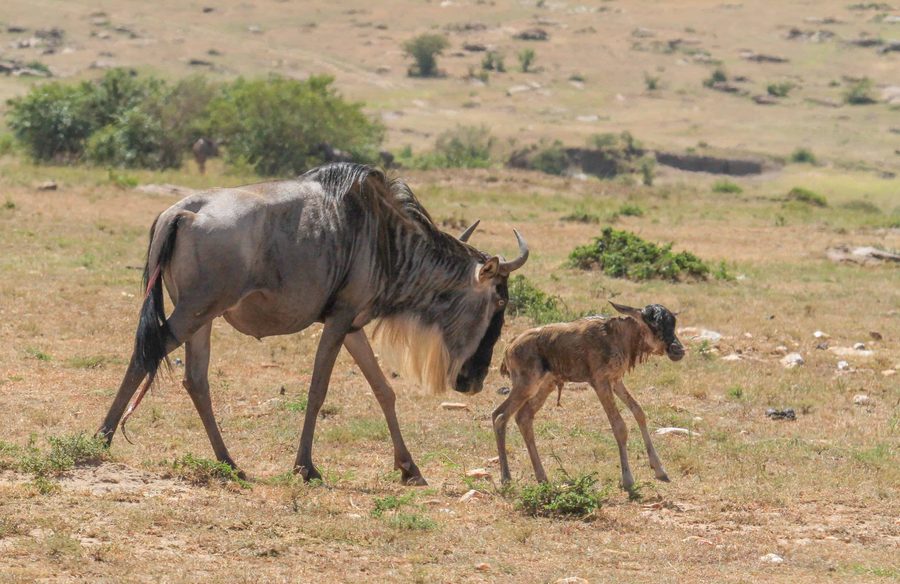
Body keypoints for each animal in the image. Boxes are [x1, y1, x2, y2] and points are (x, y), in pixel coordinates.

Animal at [95, 163, 528, 486]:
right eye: (500, 301)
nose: (474, 381)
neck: (387, 239)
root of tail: (183, 211)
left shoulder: (353, 325)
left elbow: (384, 390)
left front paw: (409, 468)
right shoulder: (338, 320)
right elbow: (318, 390)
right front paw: (305, 466)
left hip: (202, 316)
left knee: (195, 379)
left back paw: (228, 462)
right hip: (195, 311)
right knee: (148, 353)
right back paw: (101, 438)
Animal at [493, 302, 684, 490]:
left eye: (672, 323)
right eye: (653, 324)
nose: (678, 349)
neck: (617, 336)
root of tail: (509, 347)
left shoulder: (616, 381)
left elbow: (639, 412)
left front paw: (659, 470)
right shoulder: (600, 383)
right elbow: (619, 426)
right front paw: (628, 479)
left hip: (546, 386)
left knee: (521, 416)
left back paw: (542, 479)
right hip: (526, 385)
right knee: (500, 416)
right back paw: (506, 479)